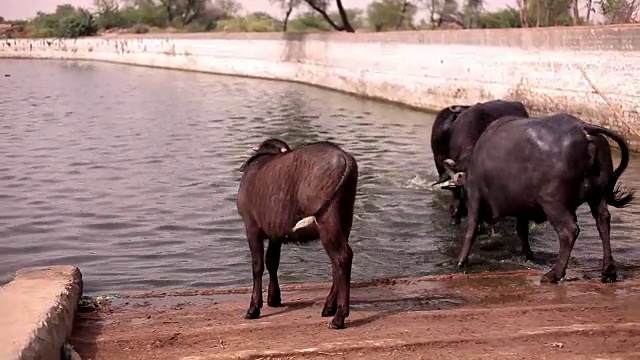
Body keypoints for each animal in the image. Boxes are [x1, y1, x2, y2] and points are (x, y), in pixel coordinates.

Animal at [236, 138, 358, 330]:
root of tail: (345, 158)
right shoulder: (275, 235)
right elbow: (272, 262)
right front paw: (274, 299)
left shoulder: (252, 228)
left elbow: (257, 266)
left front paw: (253, 308)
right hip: (344, 221)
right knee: (337, 264)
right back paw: (329, 307)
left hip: (328, 222)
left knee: (342, 258)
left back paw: (338, 318)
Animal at [444, 114, 636, 284]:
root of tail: (583, 129)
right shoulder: (522, 207)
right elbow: (522, 230)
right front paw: (528, 255)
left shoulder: (475, 196)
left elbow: (471, 229)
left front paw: (461, 261)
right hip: (598, 195)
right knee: (603, 223)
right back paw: (608, 272)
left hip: (553, 202)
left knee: (569, 231)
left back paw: (554, 274)